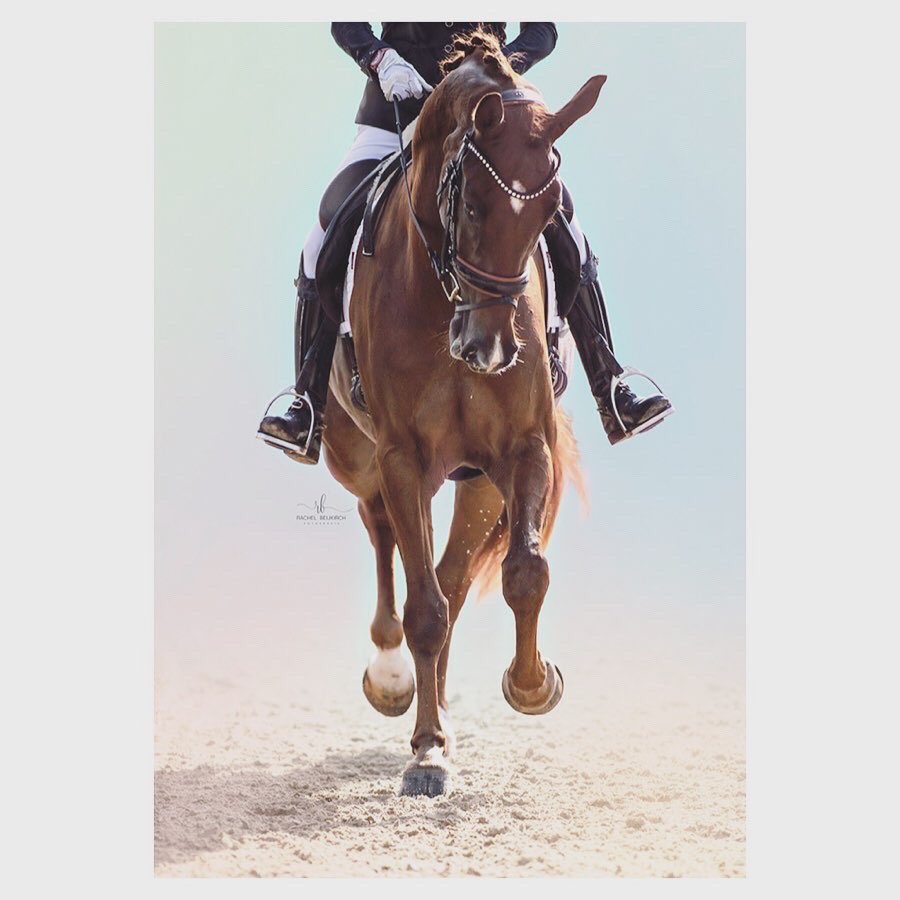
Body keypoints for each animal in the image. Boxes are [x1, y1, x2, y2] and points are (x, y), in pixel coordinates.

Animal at [322, 36, 605, 797]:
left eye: (547, 214)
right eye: (472, 205)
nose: (493, 350)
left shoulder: (523, 448)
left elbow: (524, 574)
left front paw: (533, 686)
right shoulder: (401, 457)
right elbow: (421, 609)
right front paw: (425, 752)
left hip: (476, 483)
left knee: (449, 578)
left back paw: (440, 704)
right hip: (356, 457)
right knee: (384, 535)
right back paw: (395, 679)